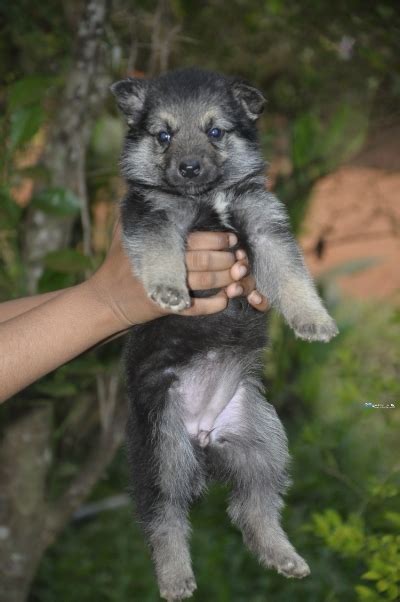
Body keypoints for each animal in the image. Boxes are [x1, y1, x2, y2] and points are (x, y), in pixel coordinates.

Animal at [110, 68, 338, 596]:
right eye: (163, 135)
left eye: (215, 131)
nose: (190, 168)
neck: (205, 199)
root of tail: (200, 435)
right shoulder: (152, 215)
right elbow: (160, 250)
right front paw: (170, 288)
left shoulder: (263, 221)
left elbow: (289, 275)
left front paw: (312, 318)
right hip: (161, 449)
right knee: (164, 516)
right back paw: (175, 576)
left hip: (262, 439)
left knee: (254, 506)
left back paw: (282, 554)